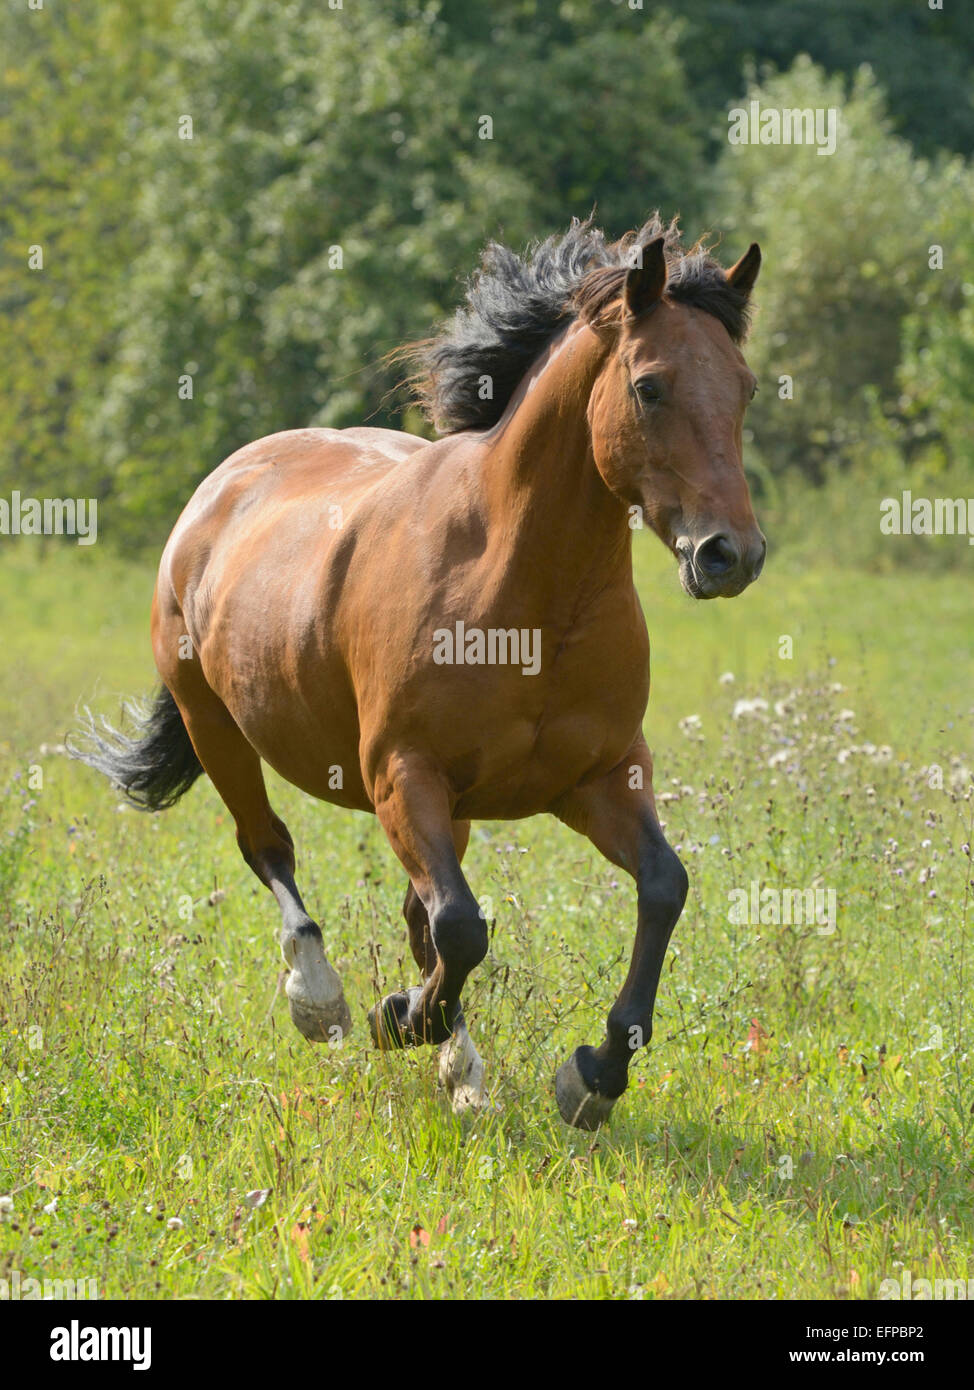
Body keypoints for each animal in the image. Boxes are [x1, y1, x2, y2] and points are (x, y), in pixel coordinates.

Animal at [73, 214, 761, 1128]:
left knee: (417, 911)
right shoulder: (403, 774)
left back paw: (459, 1068)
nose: (731, 554)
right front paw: (398, 1018)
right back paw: (322, 999)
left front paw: (593, 1074)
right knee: (271, 848)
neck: (525, 594)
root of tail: (222, 485)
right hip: (216, 728)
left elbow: (662, 887)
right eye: (650, 387)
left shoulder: (599, 777)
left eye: (746, 389)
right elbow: (462, 927)